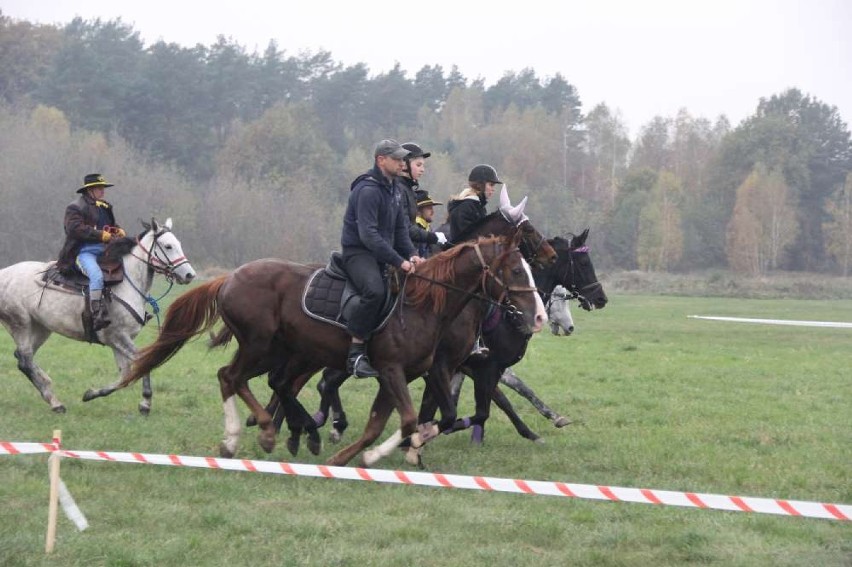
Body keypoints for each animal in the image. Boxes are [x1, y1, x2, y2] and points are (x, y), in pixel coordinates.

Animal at [0, 220, 195, 414]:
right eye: (168, 246)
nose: (189, 275)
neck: (127, 284)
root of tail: (4, 274)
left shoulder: (117, 342)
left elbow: (125, 374)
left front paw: (90, 394)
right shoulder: (118, 336)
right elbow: (142, 361)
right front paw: (145, 402)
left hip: (41, 328)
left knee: (22, 358)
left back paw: (49, 390)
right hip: (20, 324)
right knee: (25, 359)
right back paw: (55, 401)